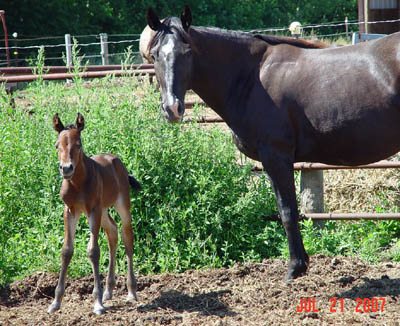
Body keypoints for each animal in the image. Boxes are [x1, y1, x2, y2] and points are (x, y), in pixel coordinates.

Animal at [48, 113, 140, 314]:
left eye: (78, 144)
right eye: (57, 145)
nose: (66, 168)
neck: (77, 183)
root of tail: (116, 160)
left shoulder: (93, 210)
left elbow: (93, 251)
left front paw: (97, 303)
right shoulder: (70, 211)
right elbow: (67, 250)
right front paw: (56, 302)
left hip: (121, 204)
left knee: (127, 236)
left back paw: (131, 292)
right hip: (103, 211)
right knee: (112, 232)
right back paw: (109, 291)